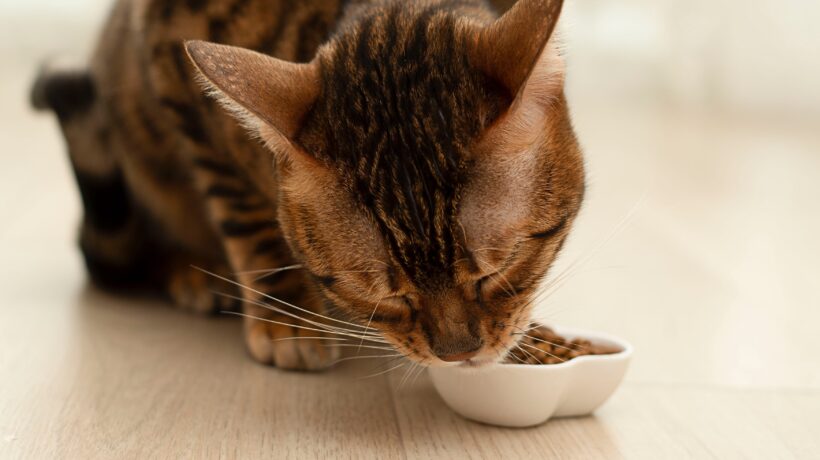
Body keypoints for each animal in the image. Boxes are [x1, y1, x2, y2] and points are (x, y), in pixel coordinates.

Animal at [32, 0, 584, 372]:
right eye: (383, 295)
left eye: (500, 270)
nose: (460, 355)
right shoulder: (171, 62)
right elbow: (245, 214)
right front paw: (286, 316)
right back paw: (194, 273)